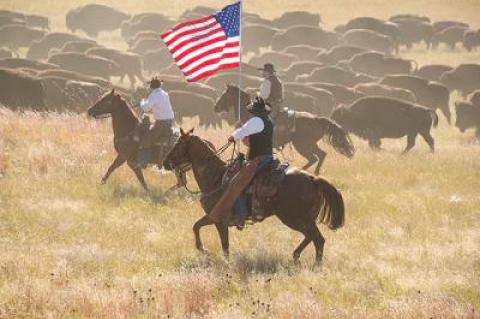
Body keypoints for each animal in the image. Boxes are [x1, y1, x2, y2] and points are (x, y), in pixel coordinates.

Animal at [163, 129, 346, 266]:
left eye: (178, 144)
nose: (165, 162)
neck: (216, 177)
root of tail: (313, 179)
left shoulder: (217, 218)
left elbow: (209, 235)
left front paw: (206, 251)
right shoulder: (217, 219)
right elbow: (202, 230)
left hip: (294, 218)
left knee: (318, 239)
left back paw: (315, 265)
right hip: (303, 220)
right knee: (312, 237)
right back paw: (296, 256)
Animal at [216, 84, 354, 175]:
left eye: (224, 95)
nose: (215, 107)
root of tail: (318, 119)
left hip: (303, 145)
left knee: (315, 158)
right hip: (309, 144)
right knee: (321, 155)